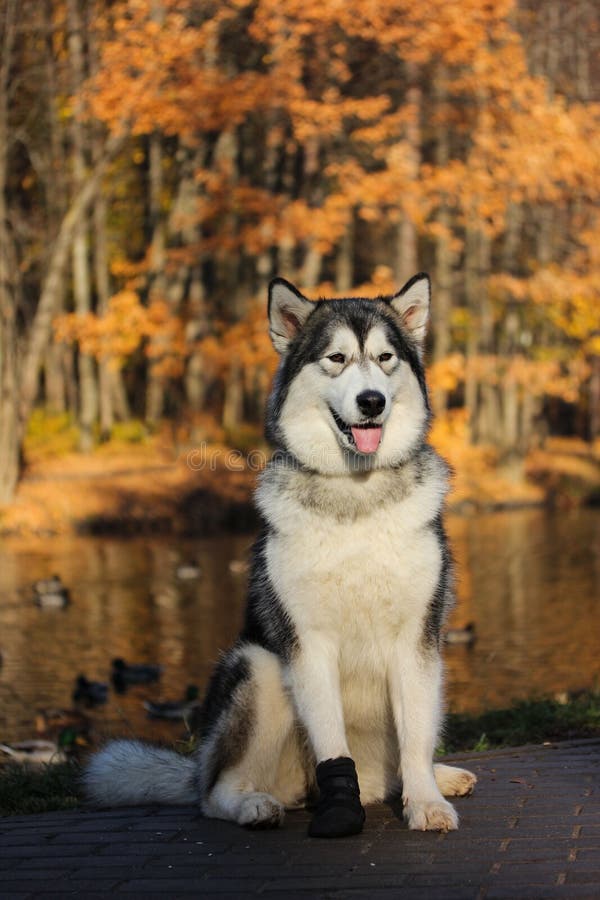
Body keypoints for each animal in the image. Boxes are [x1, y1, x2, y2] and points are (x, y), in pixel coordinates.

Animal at [85, 274, 478, 836]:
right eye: (336, 358)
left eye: (385, 358)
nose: (372, 401)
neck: (355, 495)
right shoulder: (308, 642)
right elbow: (331, 741)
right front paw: (341, 808)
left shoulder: (418, 639)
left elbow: (416, 736)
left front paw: (425, 801)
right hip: (260, 667)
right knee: (212, 791)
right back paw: (251, 804)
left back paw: (432, 778)